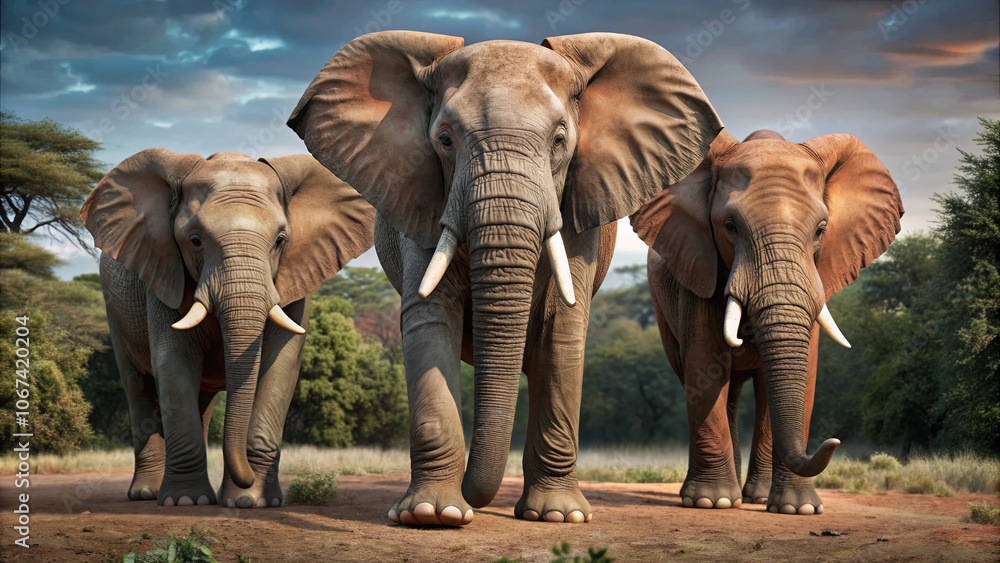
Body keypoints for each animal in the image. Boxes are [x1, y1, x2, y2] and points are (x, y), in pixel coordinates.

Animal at [80, 149, 374, 507]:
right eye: (194, 241)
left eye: (280, 241)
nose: (245, 479)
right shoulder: (163, 271)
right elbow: (174, 363)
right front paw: (186, 502)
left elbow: (280, 367)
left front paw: (251, 501)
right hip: (113, 307)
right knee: (138, 387)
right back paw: (147, 494)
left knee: (201, 401)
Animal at [287, 30, 722, 525]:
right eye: (444, 139)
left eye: (560, 140)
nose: (475, 499)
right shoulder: (419, 194)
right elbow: (430, 317)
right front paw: (433, 514)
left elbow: (561, 327)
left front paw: (558, 517)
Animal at [630, 129, 904, 514]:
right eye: (730, 226)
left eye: (821, 230)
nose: (833, 441)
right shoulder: (698, 263)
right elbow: (704, 362)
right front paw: (711, 502)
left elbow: (806, 372)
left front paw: (798, 509)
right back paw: (725, 495)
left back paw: (755, 497)